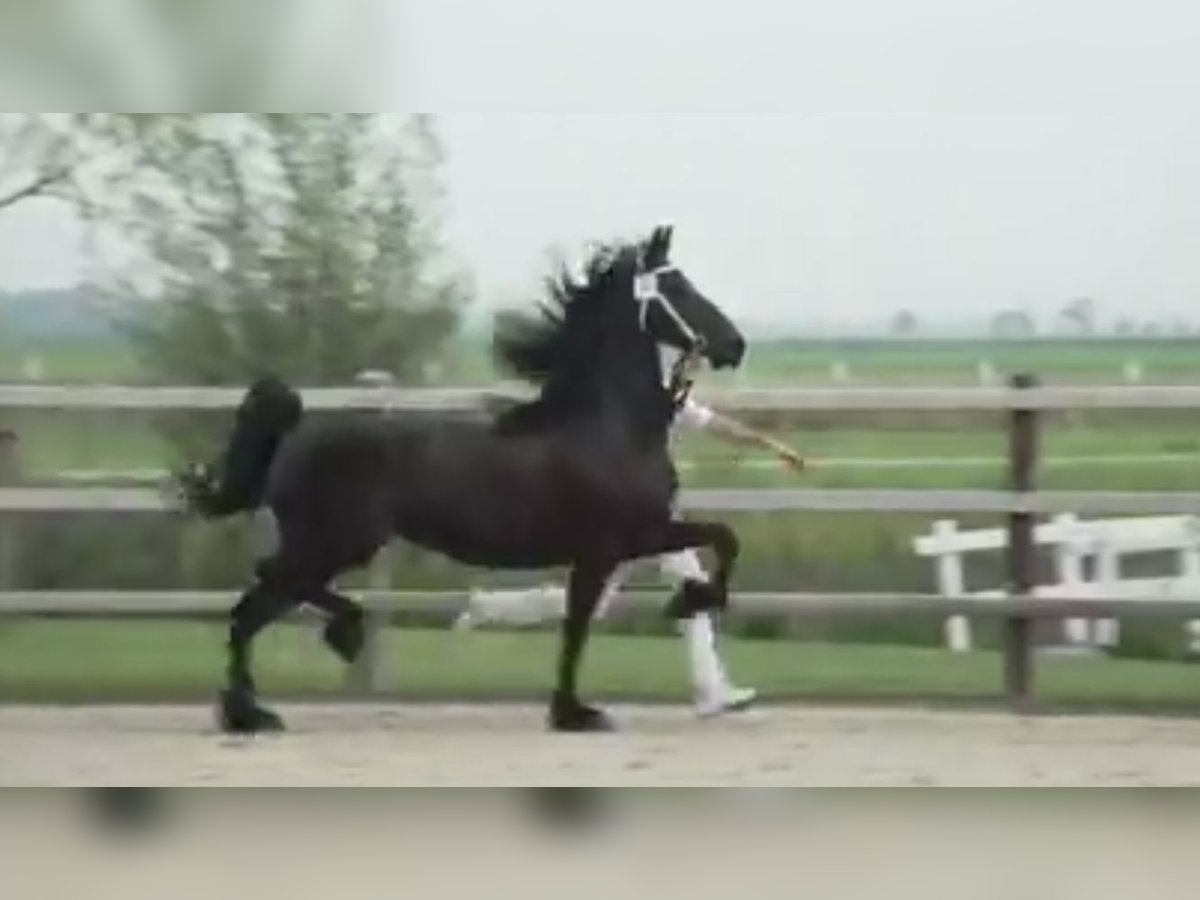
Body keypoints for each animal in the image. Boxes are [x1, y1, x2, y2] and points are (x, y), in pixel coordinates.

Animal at [177, 224, 747, 734]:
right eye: (678, 288)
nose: (735, 344)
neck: (605, 427)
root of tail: (295, 432)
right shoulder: (617, 543)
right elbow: (592, 620)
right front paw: (577, 712)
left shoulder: (624, 543)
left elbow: (709, 546)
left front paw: (575, 705)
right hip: (334, 542)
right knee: (264, 591)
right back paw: (292, 676)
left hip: (330, 544)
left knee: (256, 601)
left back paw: (258, 703)